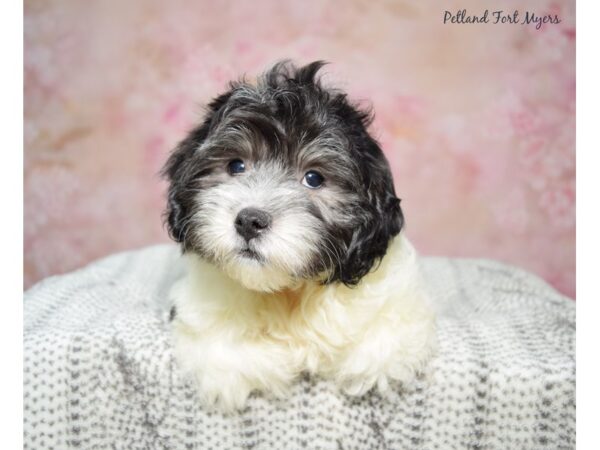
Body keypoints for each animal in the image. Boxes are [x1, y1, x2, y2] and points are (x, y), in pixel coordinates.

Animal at [164, 61, 436, 414]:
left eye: (314, 178)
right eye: (236, 165)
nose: (249, 221)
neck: (290, 291)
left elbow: (383, 343)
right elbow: (227, 350)